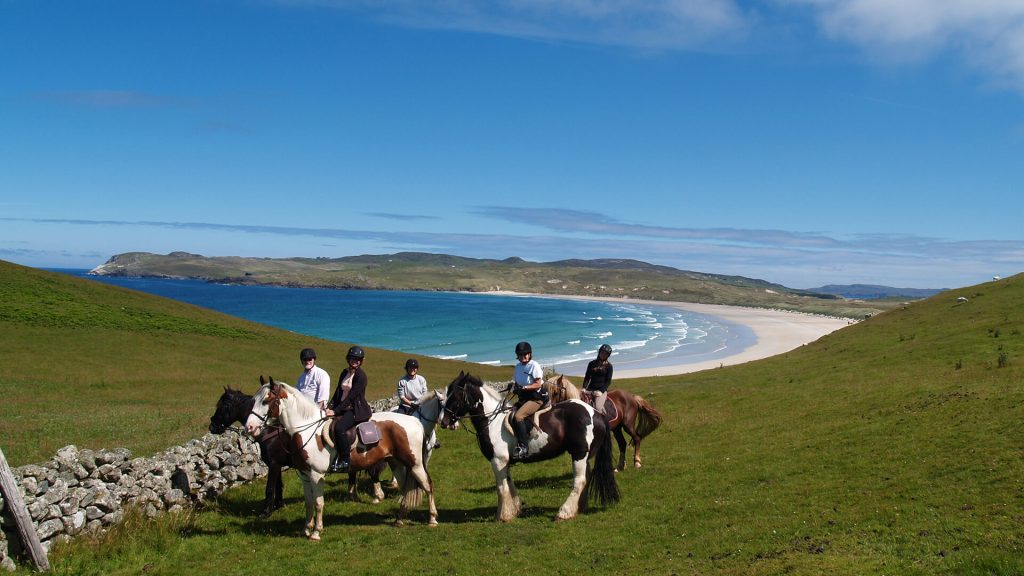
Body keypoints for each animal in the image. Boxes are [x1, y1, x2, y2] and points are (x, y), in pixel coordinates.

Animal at [247, 377, 440, 537]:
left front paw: (316, 532)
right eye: (253, 401)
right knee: (405, 489)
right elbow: (309, 503)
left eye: (266, 401)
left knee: (428, 485)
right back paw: (399, 519)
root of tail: (415, 421)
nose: (249, 427)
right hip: (397, 464)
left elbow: (318, 503)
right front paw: (305, 529)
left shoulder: (316, 475)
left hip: (415, 464)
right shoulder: (304, 475)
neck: (308, 429)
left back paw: (432, 519)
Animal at [438, 368, 618, 522]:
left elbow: (501, 488)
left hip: (579, 454)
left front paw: (502, 515)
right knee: (585, 478)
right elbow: (509, 484)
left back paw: (564, 512)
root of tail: (596, 414)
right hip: (583, 455)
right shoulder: (504, 462)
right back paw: (578, 508)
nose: (444, 421)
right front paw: (515, 510)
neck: (492, 421)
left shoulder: (498, 461)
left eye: (457, 394)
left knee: (579, 481)